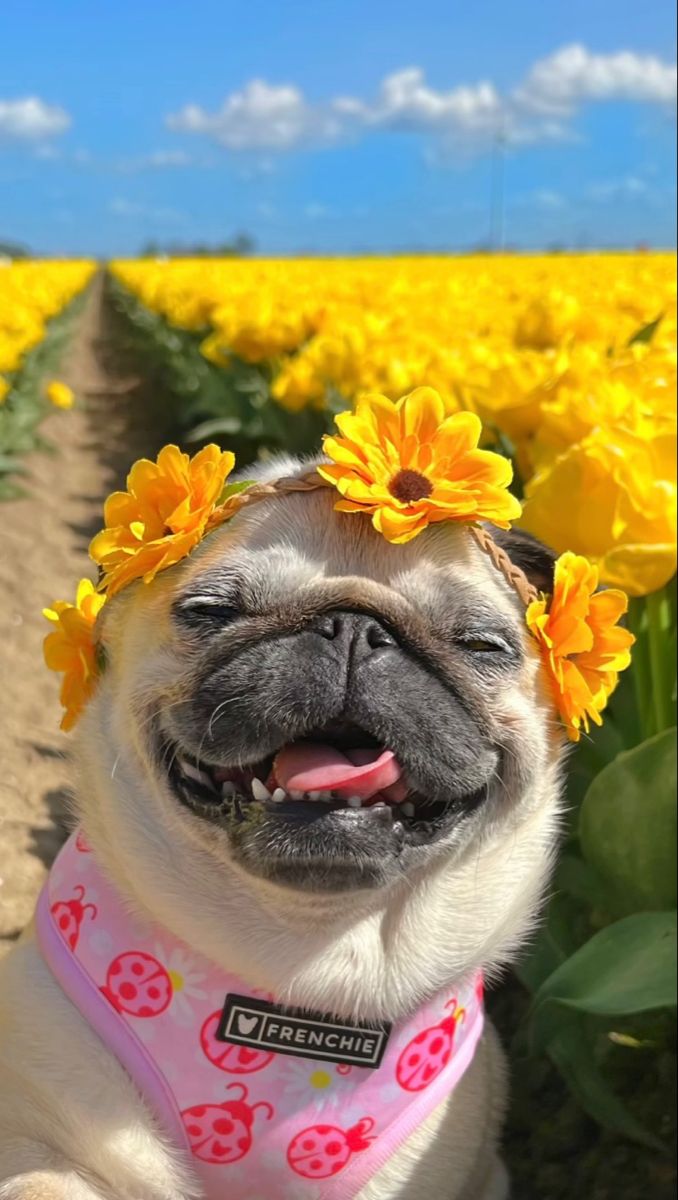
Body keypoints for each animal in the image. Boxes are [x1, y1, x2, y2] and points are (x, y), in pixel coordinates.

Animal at [0, 453, 561, 1195]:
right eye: (211, 611)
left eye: (481, 645)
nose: (354, 627)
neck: (300, 961)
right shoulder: (43, 1133)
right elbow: (43, 1176)